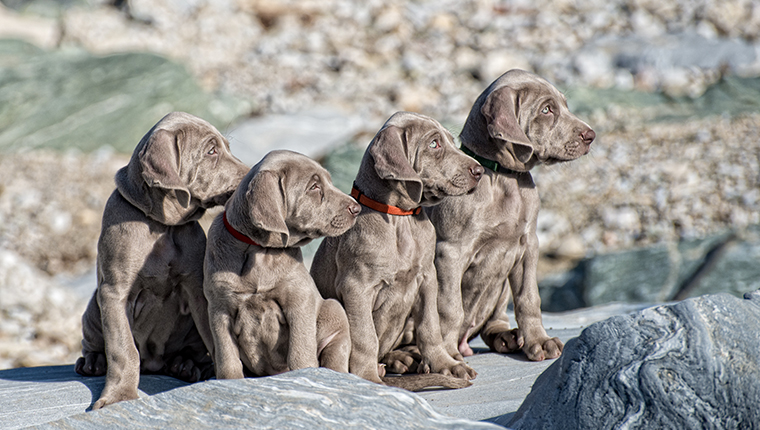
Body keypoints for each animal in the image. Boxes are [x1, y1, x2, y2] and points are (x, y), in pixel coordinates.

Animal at [74, 112, 246, 408]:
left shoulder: (197, 288)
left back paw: (187, 366)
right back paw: (94, 361)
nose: (251, 176)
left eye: (226, 147)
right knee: (95, 342)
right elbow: (123, 349)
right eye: (211, 151)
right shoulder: (114, 292)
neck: (163, 227)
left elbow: (213, 335)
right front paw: (119, 396)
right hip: (94, 307)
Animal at [202, 149, 356, 378]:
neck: (259, 250)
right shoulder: (219, 308)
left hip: (333, 309)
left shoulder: (300, 300)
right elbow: (227, 359)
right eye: (314, 186)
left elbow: (300, 353)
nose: (357, 208)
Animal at [312, 111, 484, 390]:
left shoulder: (427, 278)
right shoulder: (356, 288)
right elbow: (365, 337)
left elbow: (429, 326)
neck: (401, 219)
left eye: (450, 140)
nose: (479, 171)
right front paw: (368, 378)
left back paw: (402, 359)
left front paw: (445, 364)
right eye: (434, 144)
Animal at [428, 69, 592, 362]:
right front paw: (447, 355)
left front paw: (539, 341)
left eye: (564, 105)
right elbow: (449, 308)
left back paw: (508, 337)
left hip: (500, 287)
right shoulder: (450, 252)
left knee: (492, 323)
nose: (591, 135)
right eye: (547, 109)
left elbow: (529, 298)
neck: (505, 178)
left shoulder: (528, 244)